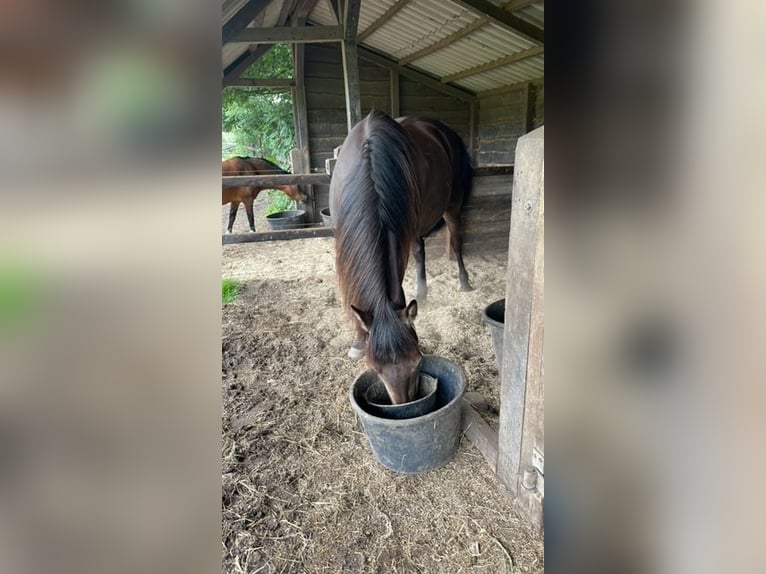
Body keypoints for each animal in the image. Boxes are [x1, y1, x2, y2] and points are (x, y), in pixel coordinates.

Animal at [329, 110, 473, 404]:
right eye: (375, 368)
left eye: (418, 361)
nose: (405, 404)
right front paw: (358, 341)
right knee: (420, 250)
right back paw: (423, 292)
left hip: (450, 207)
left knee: (456, 240)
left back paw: (464, 281)